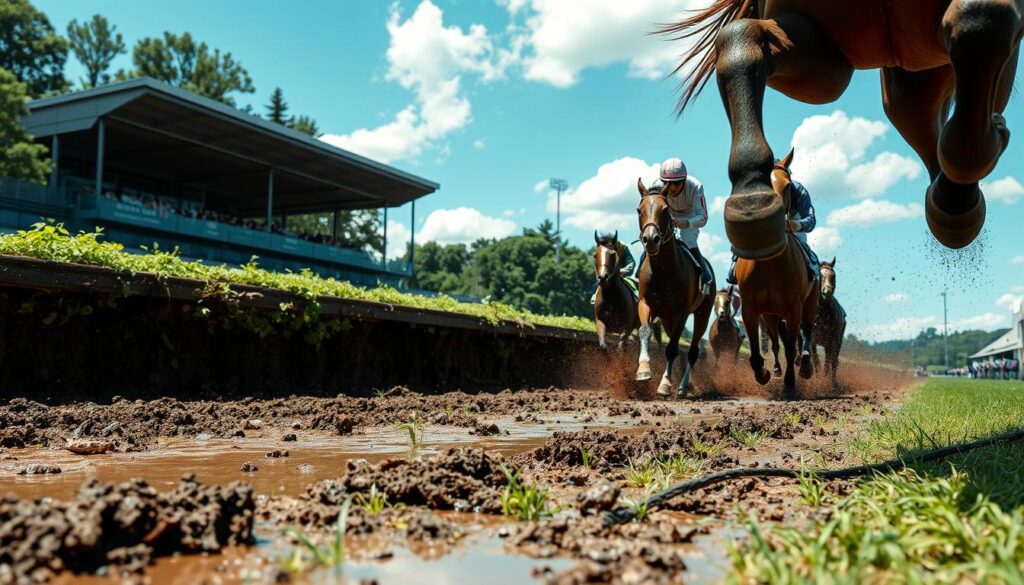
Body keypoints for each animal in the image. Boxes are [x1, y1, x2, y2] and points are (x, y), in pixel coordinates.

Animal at [630, 179, 712, 397]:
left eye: (665, 210)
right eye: (639, 210)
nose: (651, 239)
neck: (664, 271)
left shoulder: (682, 311)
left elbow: (672, 349)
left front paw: (665, 384)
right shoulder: (645, 303)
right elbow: (644, 330)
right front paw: (643, 370)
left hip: (702, 314)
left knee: (692, 351)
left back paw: (683, 386)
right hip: (668, 318)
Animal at [659, 0, 1019, 256]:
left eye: (788, 189)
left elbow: (980, 16)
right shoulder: (825, 57)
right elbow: (742, 39)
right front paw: (751, 198)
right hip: (912, 66)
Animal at [733, 150, 819, 397]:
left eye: (788, 186)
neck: (770, 264)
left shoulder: (794, 308)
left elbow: (792, 347)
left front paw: (790, 384)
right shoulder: (751, 308)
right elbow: (757, 350)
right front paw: (763, 374)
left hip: (810, 304)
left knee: (806, 333)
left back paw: (805, 366)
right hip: (771, 315)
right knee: (775, 342)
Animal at [806, 257, 847, 389]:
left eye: (833, 276)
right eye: (820, 276)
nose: (826, 292)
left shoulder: (832, 341)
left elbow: (828, 362)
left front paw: (825, 382)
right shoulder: (812, 341)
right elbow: (815, 360)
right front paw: (816, 380)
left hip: (836, 342)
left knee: (833, 361)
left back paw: (833, 383)